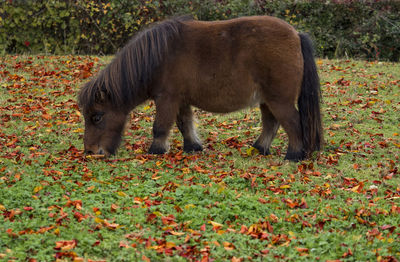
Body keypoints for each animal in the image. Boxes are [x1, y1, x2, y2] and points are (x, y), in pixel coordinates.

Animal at [77, 15, 322, 162]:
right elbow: (184, 124)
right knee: (271, 124)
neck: (157, 57)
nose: (90, 152)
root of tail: (296, 35)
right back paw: (259, 149)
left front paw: (156, 150)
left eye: (97, 117)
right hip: (267, 100)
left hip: (279, 100)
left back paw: (294, 155)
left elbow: (160, 127)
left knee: (292, 123)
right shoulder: (181, 100)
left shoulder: (167, 98)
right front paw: (193, 146)